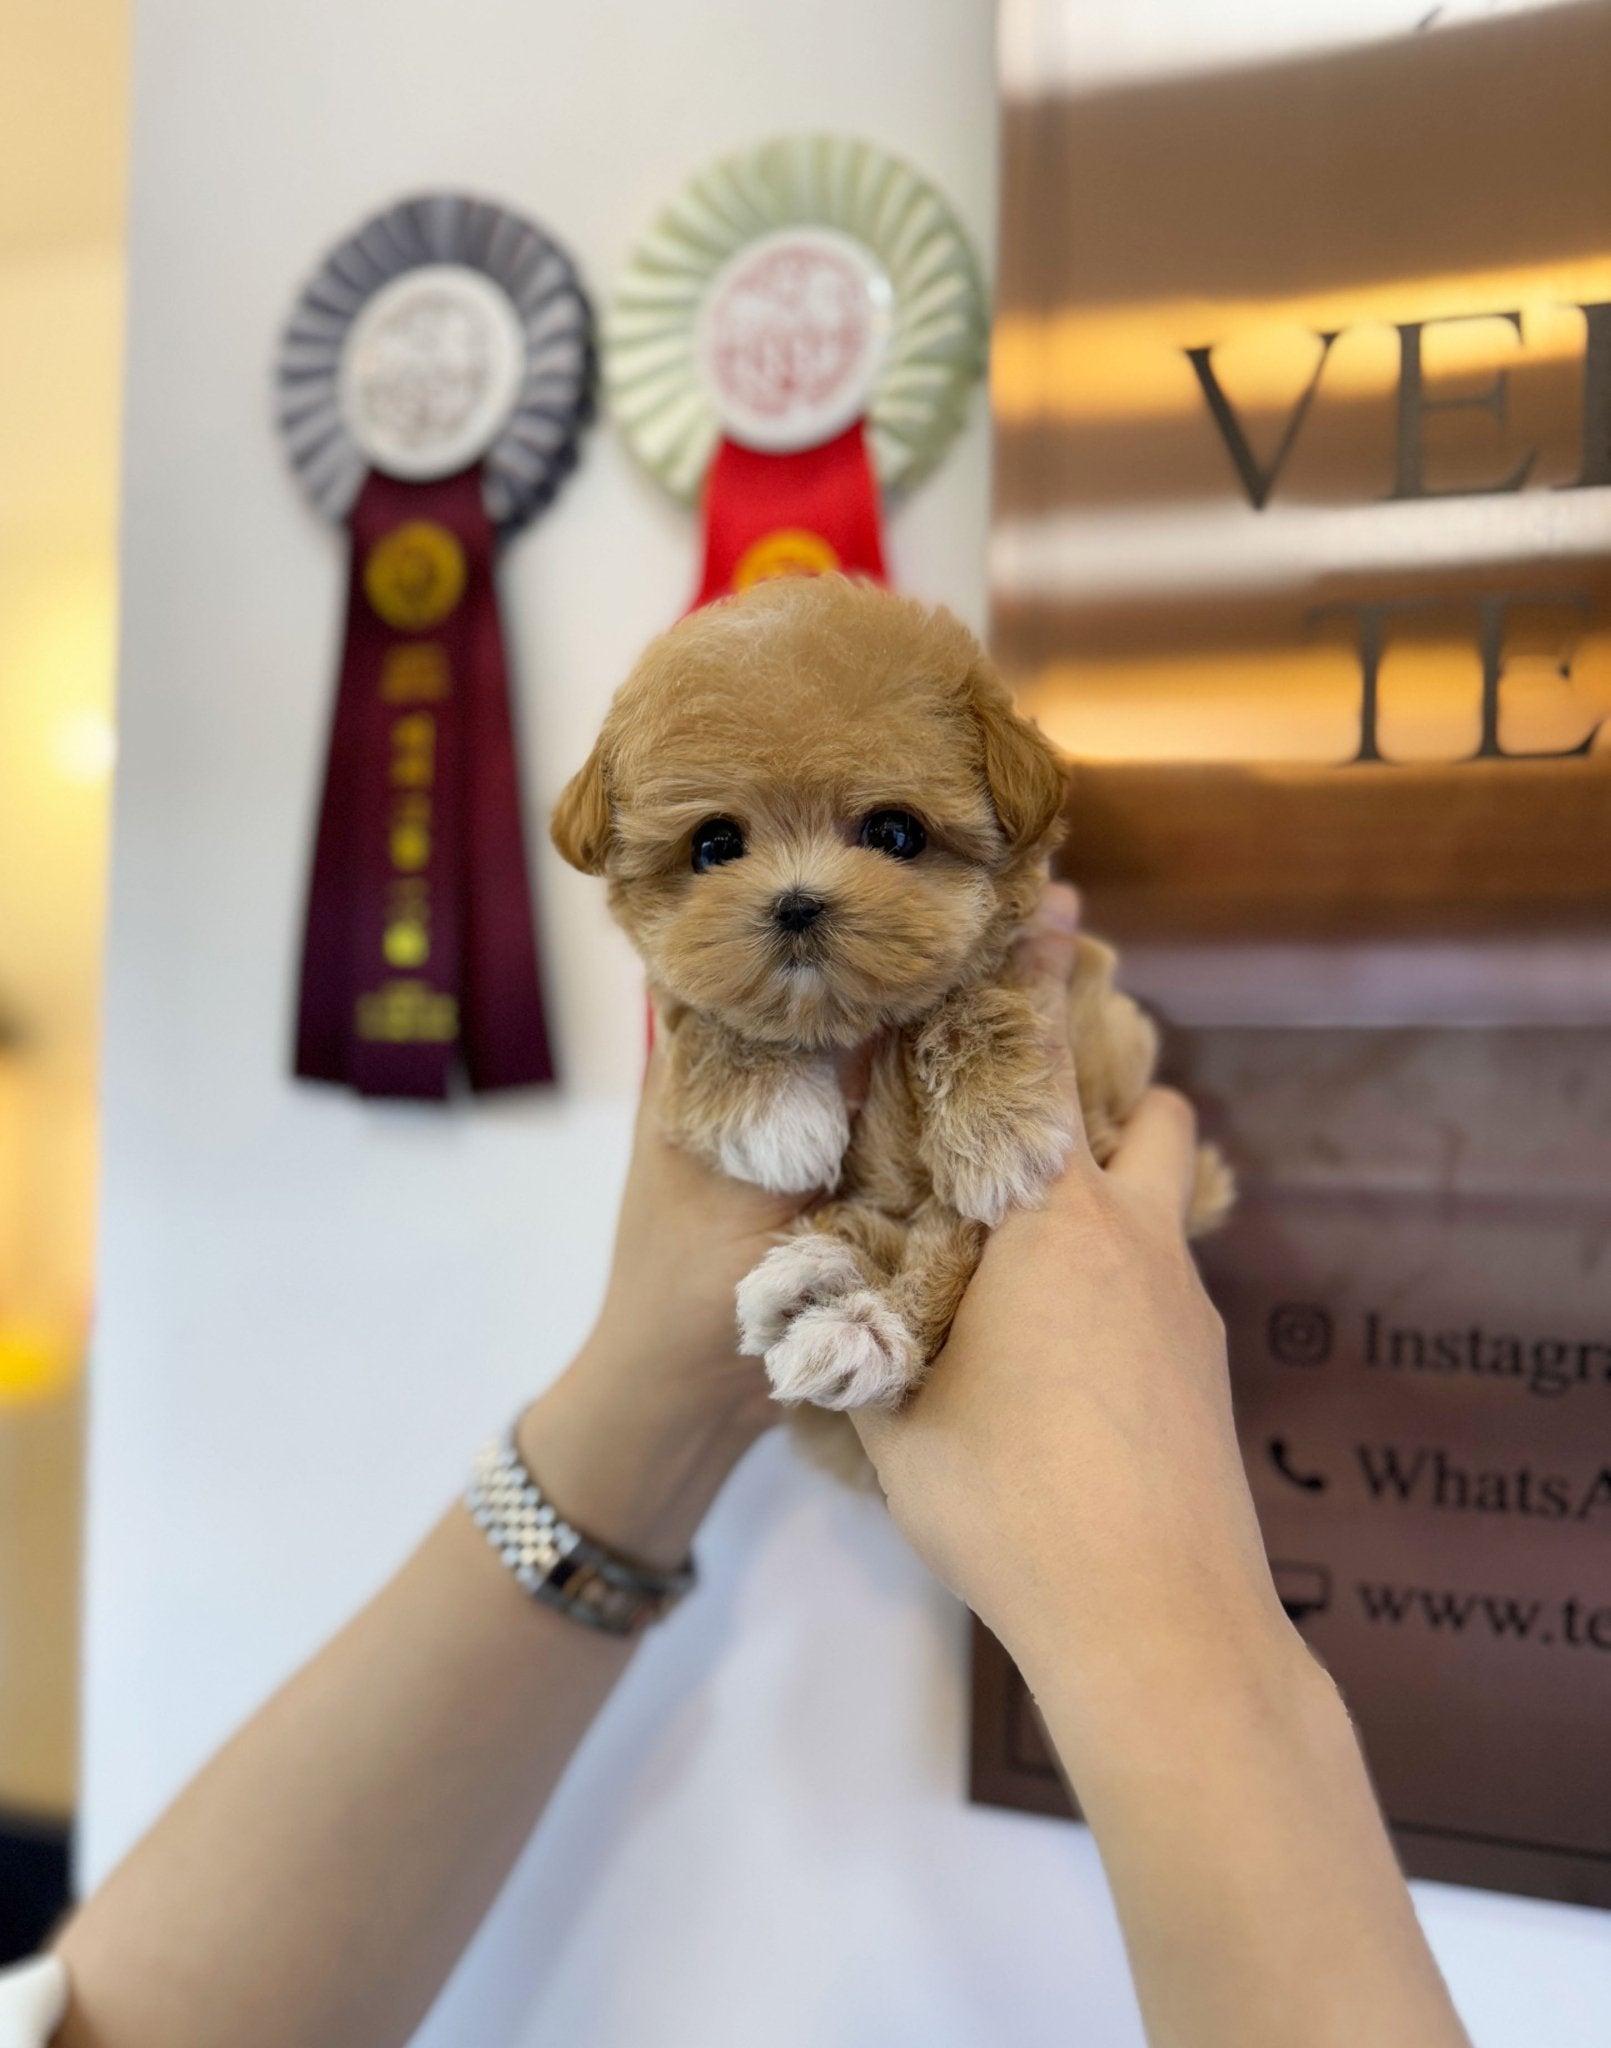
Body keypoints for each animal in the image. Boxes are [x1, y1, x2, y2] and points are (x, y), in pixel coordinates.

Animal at [548, 569, 1228, 1449]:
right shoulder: (680, 1007)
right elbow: (706, 1016)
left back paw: (855, 1315)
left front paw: (996, 1126)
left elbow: (972, 996)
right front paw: (772, 1116)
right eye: (713, 845)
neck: (848, 1022)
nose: (795, 904)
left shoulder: (1097, 1043)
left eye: (895, 832)